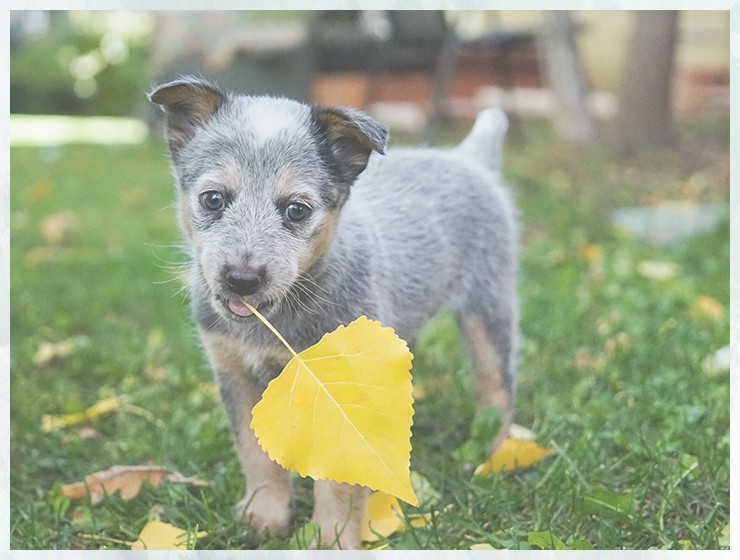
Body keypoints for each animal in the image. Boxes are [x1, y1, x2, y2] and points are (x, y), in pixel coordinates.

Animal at [149, 76, 520, 548]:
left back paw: (492, 456)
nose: (242, 279)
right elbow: (254, 453)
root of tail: (467, 158)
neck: (280, 322)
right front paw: (264, 513)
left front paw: (332, 539)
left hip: (488, 305)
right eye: (213, 199)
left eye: (296, 209)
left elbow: (341, 480)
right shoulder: (233, 372)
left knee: (497, 385)